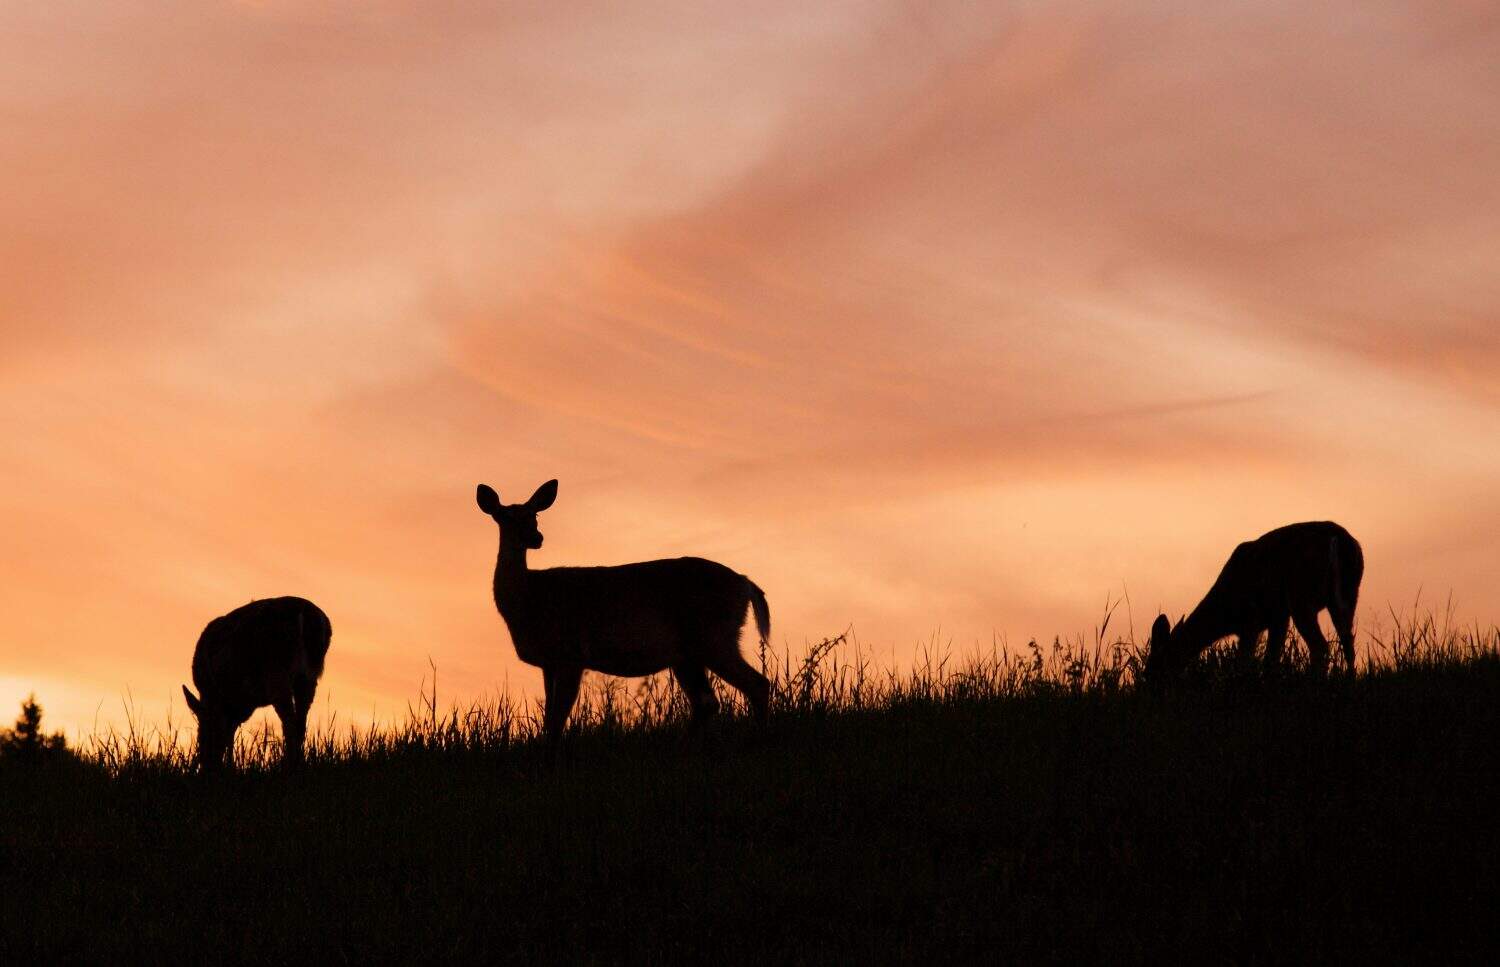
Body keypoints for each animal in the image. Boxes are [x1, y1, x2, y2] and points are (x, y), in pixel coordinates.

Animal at [180, 596, 332, 771]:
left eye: (201, 737)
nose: (206, 767)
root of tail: (304, 614)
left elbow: (227, 732)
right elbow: (231, 732)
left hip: (276, 672)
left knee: (289, 722)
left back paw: (288, 765)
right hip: (308, 677)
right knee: (300, 722)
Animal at [476, 479, 772, 746]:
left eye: (534, 515)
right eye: (504, 516)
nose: (536, 538)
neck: (529, 599)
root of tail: (745, 582)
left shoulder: (572, 653)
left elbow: (558, 719)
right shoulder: (549, 662)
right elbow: (550, 719)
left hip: (713, 636)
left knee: (756, 684)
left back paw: (760, 739)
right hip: (689, 653)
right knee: (708, 702)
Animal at [1144, 521, 1364, 686]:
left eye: (1155, 666)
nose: (1148, 687)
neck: (1225, 612)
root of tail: (1339, 541)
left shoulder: (1251, 620)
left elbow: (1244, 661)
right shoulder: (1278, 617)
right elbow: (1271, 659)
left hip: (1301, 598)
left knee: (1321, 647)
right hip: (1347, 596)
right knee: (1348, 643)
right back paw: (1349, 681)